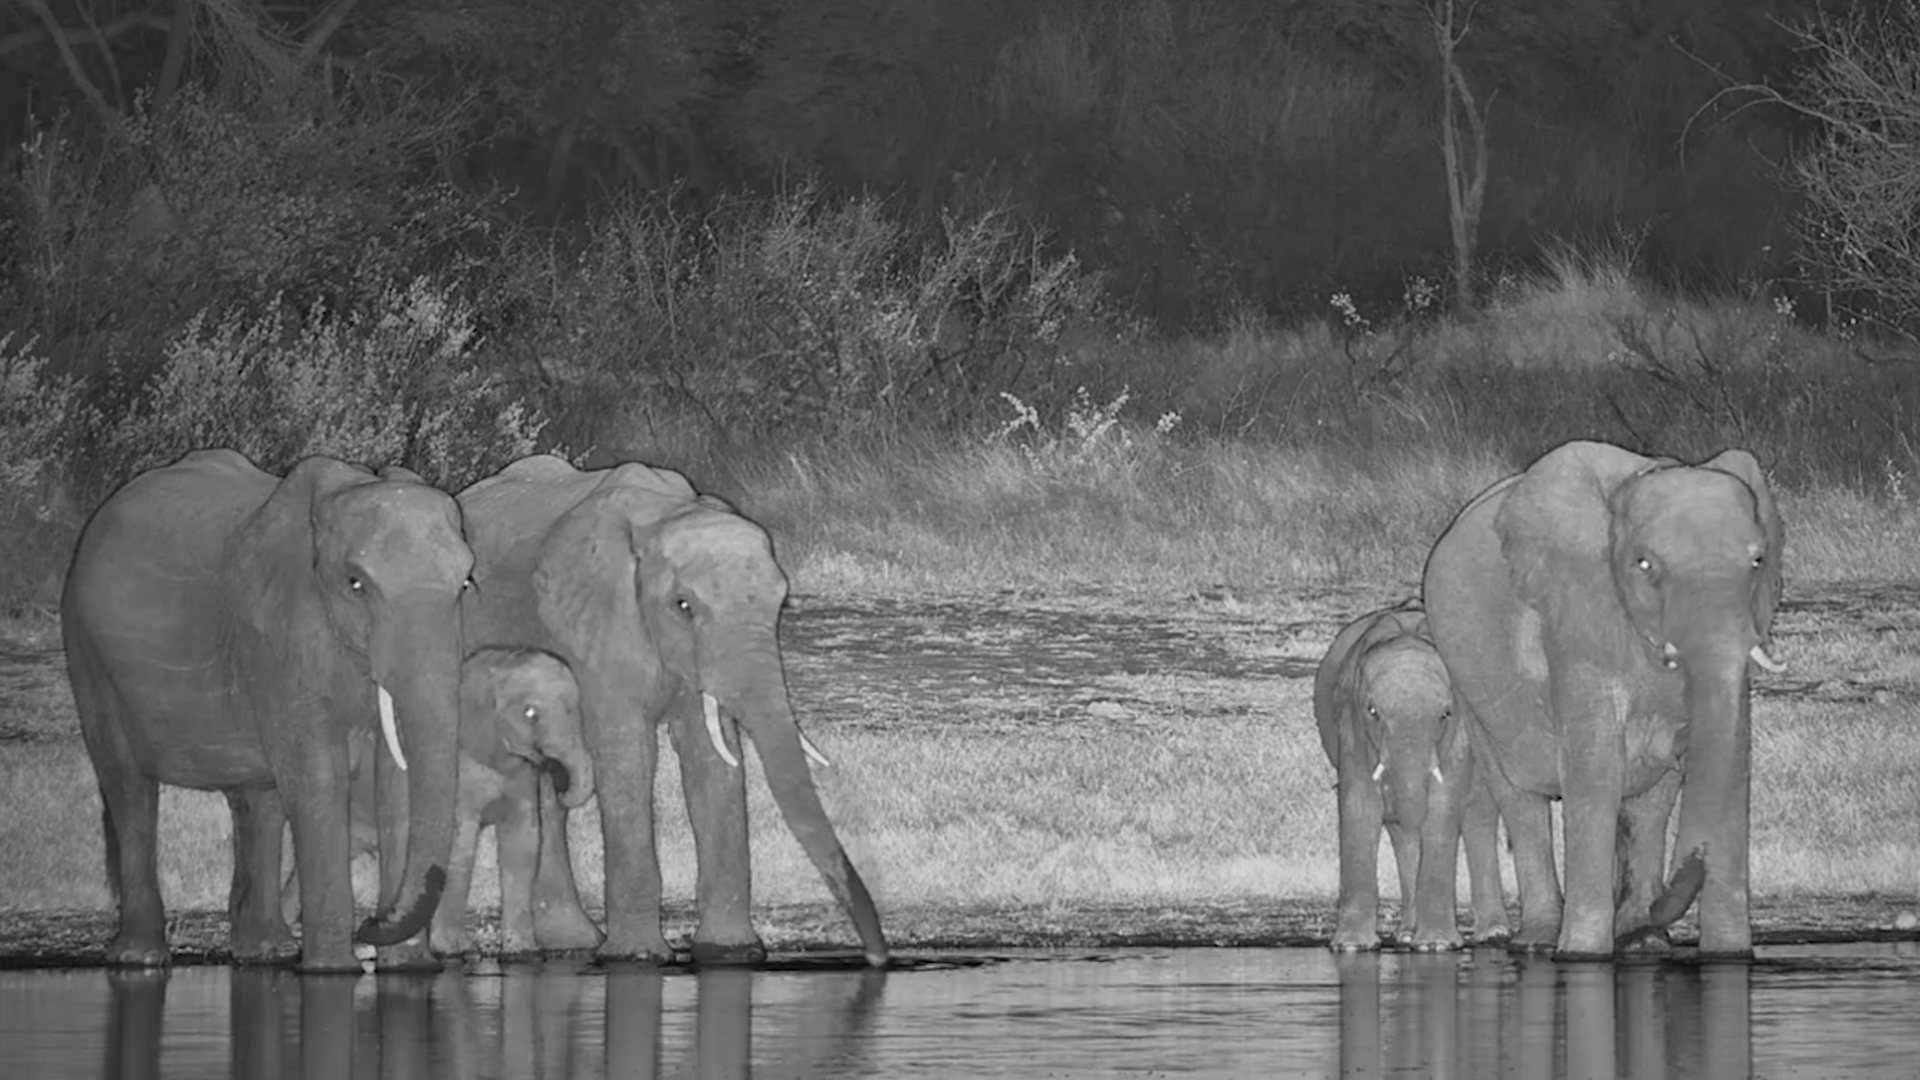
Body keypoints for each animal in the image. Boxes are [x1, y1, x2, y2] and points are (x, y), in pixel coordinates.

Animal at [62, 449, 472, 971]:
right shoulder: (274, 638)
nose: (371, 926)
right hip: (87, 654)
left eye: (466, 584)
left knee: (260, 799)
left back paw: (265, 952)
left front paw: (411, 969)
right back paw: (141, 959)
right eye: (355, 584)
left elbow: (394, 783)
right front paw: (334, 972)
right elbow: (318, 777)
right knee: (129, 789)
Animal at [279, 645, 599, 957]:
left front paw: (522, 952)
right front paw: (454, 950)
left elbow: (524, 842)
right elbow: (460, 843)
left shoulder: (520, 775)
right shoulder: (460, 769)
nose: (556, 776)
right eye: (530, 713)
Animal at [456, 454, 888, 967]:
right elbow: (628, 755)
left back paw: (572, 945)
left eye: (781, 602)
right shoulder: (599, 627)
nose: (878, 960)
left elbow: (711, 757)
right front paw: (637, 958)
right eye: (683, 606)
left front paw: (731, 953)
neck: (664, 515)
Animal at [1315, 603, 1509, 950]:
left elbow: (1443, 807)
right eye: (1373, 712)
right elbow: (1359, 803)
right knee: (1404, 839)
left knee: (1479, 817)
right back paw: (1406, 934)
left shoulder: (1462, 728)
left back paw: (1495, 934)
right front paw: (1351, 947)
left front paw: (1437, 946)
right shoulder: (1350, 725)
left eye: (1445, 714)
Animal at [1422, 440, 1784, 958]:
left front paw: (1730, 957)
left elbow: (1733, 765)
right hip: (1467, 678)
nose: (1659, 904)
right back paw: (1542, 941)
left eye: (1757, 562)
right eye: (1644, 564)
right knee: (1518, 797)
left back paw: (1643, 942)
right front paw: (1581, 956)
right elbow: (1596, 765)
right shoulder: (1576, 615)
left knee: (1650, 805)